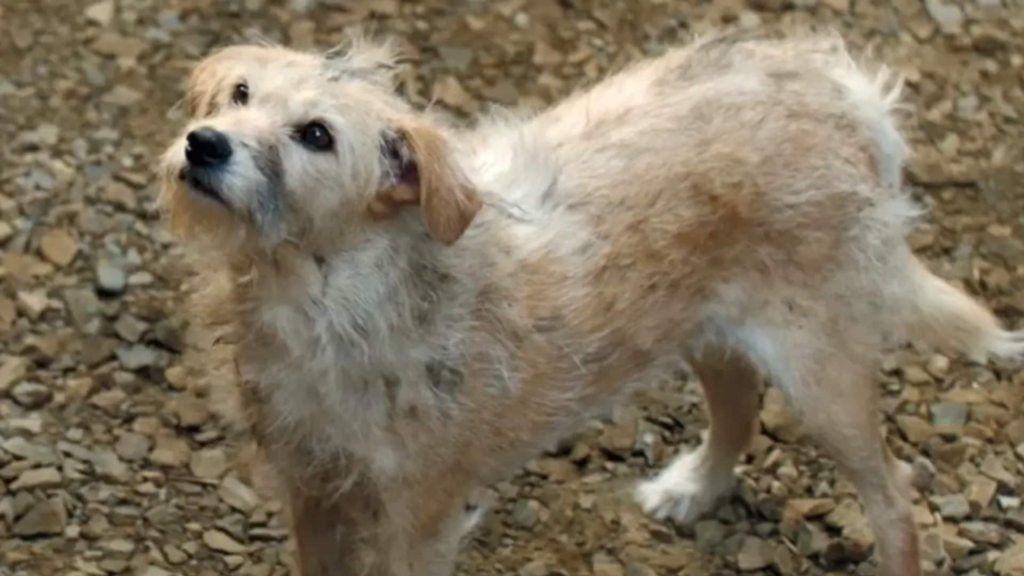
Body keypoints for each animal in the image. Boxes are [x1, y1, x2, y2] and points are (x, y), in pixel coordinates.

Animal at [157, 29, 1024, 573]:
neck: (326, 292)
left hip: (824, 372)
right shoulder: (311, 488)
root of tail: (847, 95)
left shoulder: (419, 514)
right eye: (240, 93)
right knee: (739, 402)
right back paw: (694, 489)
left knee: (894, 496)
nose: (205, 143)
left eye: (316, 135)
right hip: (705, 329)